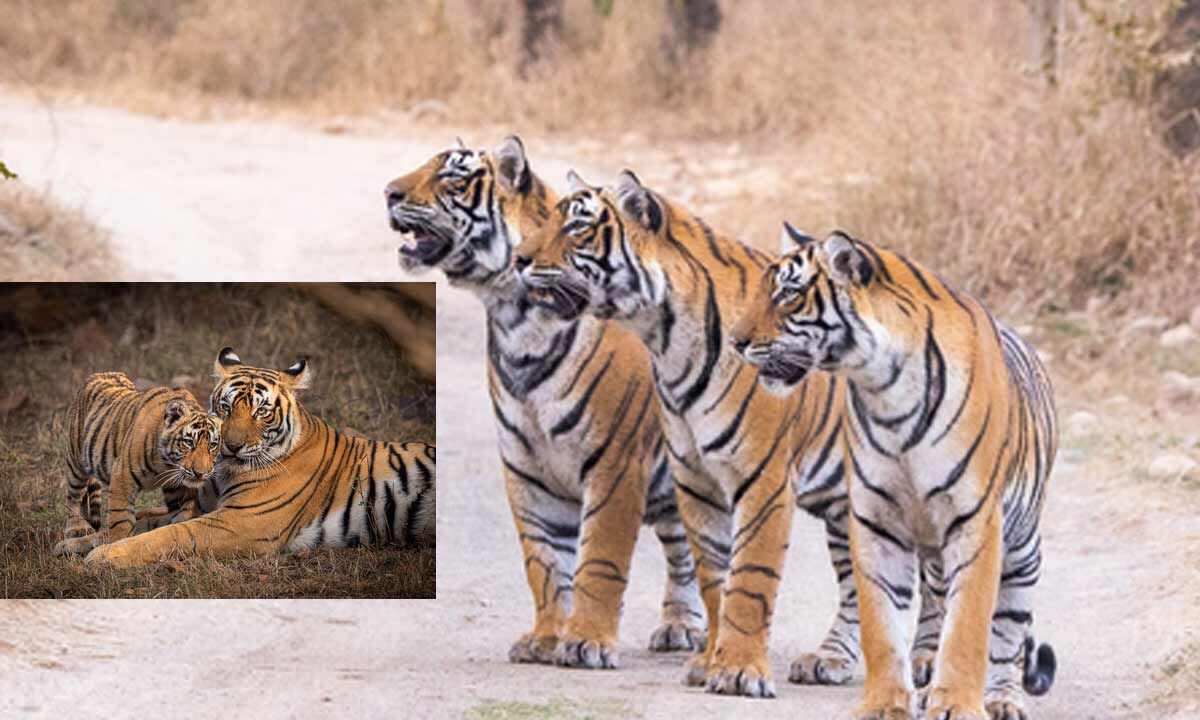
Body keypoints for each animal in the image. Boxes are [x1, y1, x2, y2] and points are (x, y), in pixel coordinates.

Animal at [53, 372, 220, 557]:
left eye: (212, 445)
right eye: (189, 442)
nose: (200, 473)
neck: (167, 464)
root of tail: (96, 375)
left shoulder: (177, 486)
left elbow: (183, 512)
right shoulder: (123, 475)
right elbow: (120, 518)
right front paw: (114, 544)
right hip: (76, 462)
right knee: (74, 496)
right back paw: (77, 528)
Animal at [84, 349, 435, 567]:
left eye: (261, 412)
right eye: (226, 407)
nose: (231, 447)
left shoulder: (241, 522)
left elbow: (170, 534)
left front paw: (104, 555)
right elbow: (147, 519)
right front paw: (83, 540)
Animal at [383, 138, 706, 668]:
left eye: (452, 178)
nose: (388, 193)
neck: (516, 319)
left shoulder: (616, 463)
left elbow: (599, 559)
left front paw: (588, 642)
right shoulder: (526, 465)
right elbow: (546, 562)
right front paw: (547, 639)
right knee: (685, 549)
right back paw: (682, 626)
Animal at [513, 169, 870, 698]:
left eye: (577, 228)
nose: (518, 260)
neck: (666, 341)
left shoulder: (763, 480)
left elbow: (750, 579)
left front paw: (740, 671)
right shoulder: (697, 479)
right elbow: (715, 579)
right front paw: (710, 662)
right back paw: (831, 660)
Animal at [730, 227, 1057, 720]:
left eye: (788, 294)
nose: (734, 341)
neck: (885, 388)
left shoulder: (976, 522)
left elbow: (968, 628)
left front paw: (957, 704)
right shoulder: (876, 521)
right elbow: (880, 625)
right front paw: (885, 703)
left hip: (1021, 552)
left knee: (1007, 637)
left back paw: (1000, 699)